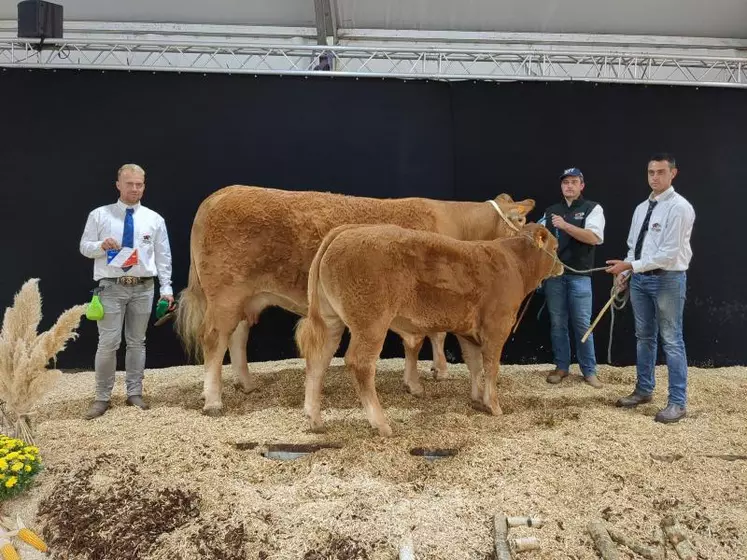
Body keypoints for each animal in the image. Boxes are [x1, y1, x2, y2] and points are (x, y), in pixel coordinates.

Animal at [175, 186, 536, 414]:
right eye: (519, 220)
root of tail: (220, 194)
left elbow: (427, 337)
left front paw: (429, 374)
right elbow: (422, 339)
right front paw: (423, 380)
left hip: (246, 297)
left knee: (236, 337)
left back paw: (246, 384)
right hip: (226, 293)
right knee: (214, 339)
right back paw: (213, 400)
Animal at [296, 221, 564, 436]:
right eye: (556, 248)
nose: (562, 266)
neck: (515, 264)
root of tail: (346, 230)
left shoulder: (468, 332)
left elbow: (474, 365)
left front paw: (478, 399)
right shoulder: (497, 327)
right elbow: (491, 367)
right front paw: (494, 405)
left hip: (330, 320)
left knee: (318, 360)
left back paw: (314, 419)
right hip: (371, 323)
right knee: (359, 364)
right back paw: (381, 424)